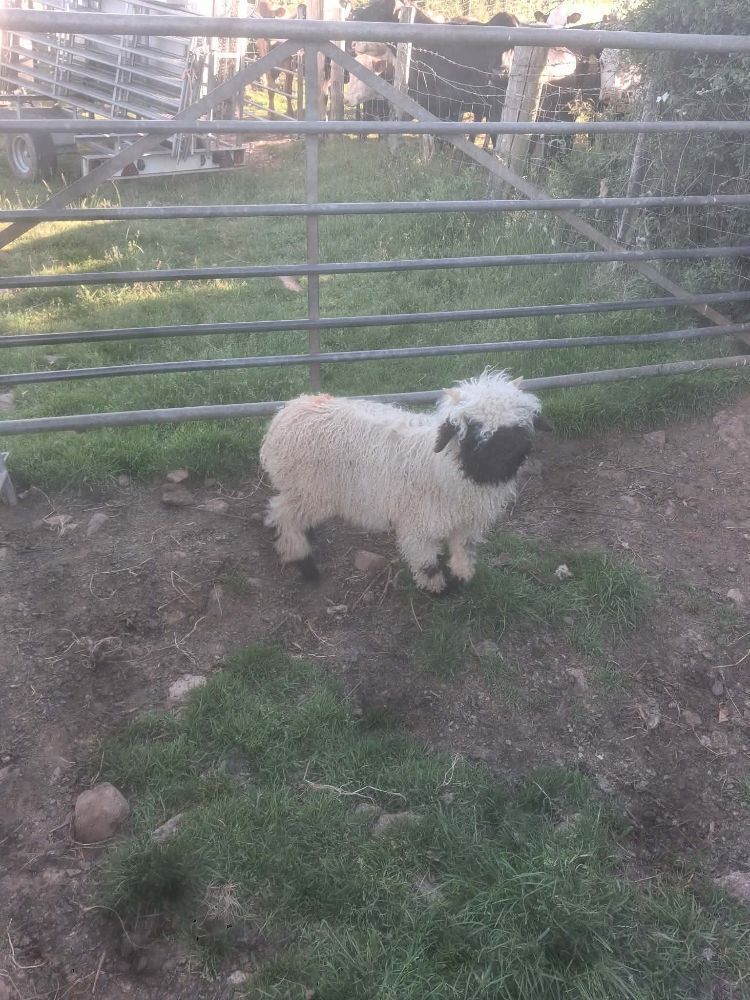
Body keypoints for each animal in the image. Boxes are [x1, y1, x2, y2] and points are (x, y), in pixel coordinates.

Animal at [259, 370, 548, 594]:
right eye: (473, 426)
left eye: (519, 423)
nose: (509, 455)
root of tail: (289, 410)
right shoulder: (418, 524)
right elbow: (426, 563)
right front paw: (439, 590)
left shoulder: (467, 524)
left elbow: (463, 555)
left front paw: (460, 580)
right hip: (310, 490)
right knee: (282, 515)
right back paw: (304, 563)